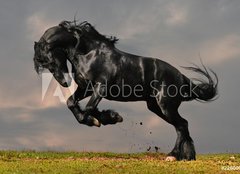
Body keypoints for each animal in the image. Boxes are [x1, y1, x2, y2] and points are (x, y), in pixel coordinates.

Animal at [32, 20, 218, 160]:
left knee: (181, 125)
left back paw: (173, 155)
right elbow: (72, 103)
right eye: (45, 64)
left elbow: (89, 108)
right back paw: (187, 156)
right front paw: (105, 117)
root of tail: (181, 77)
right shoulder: (86, 88)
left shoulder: (101, 87)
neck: (89, 54)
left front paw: (104, 118)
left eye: (50, 60)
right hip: (156, 107)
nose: (64, 83)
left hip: (166, 106)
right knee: (182, 125)